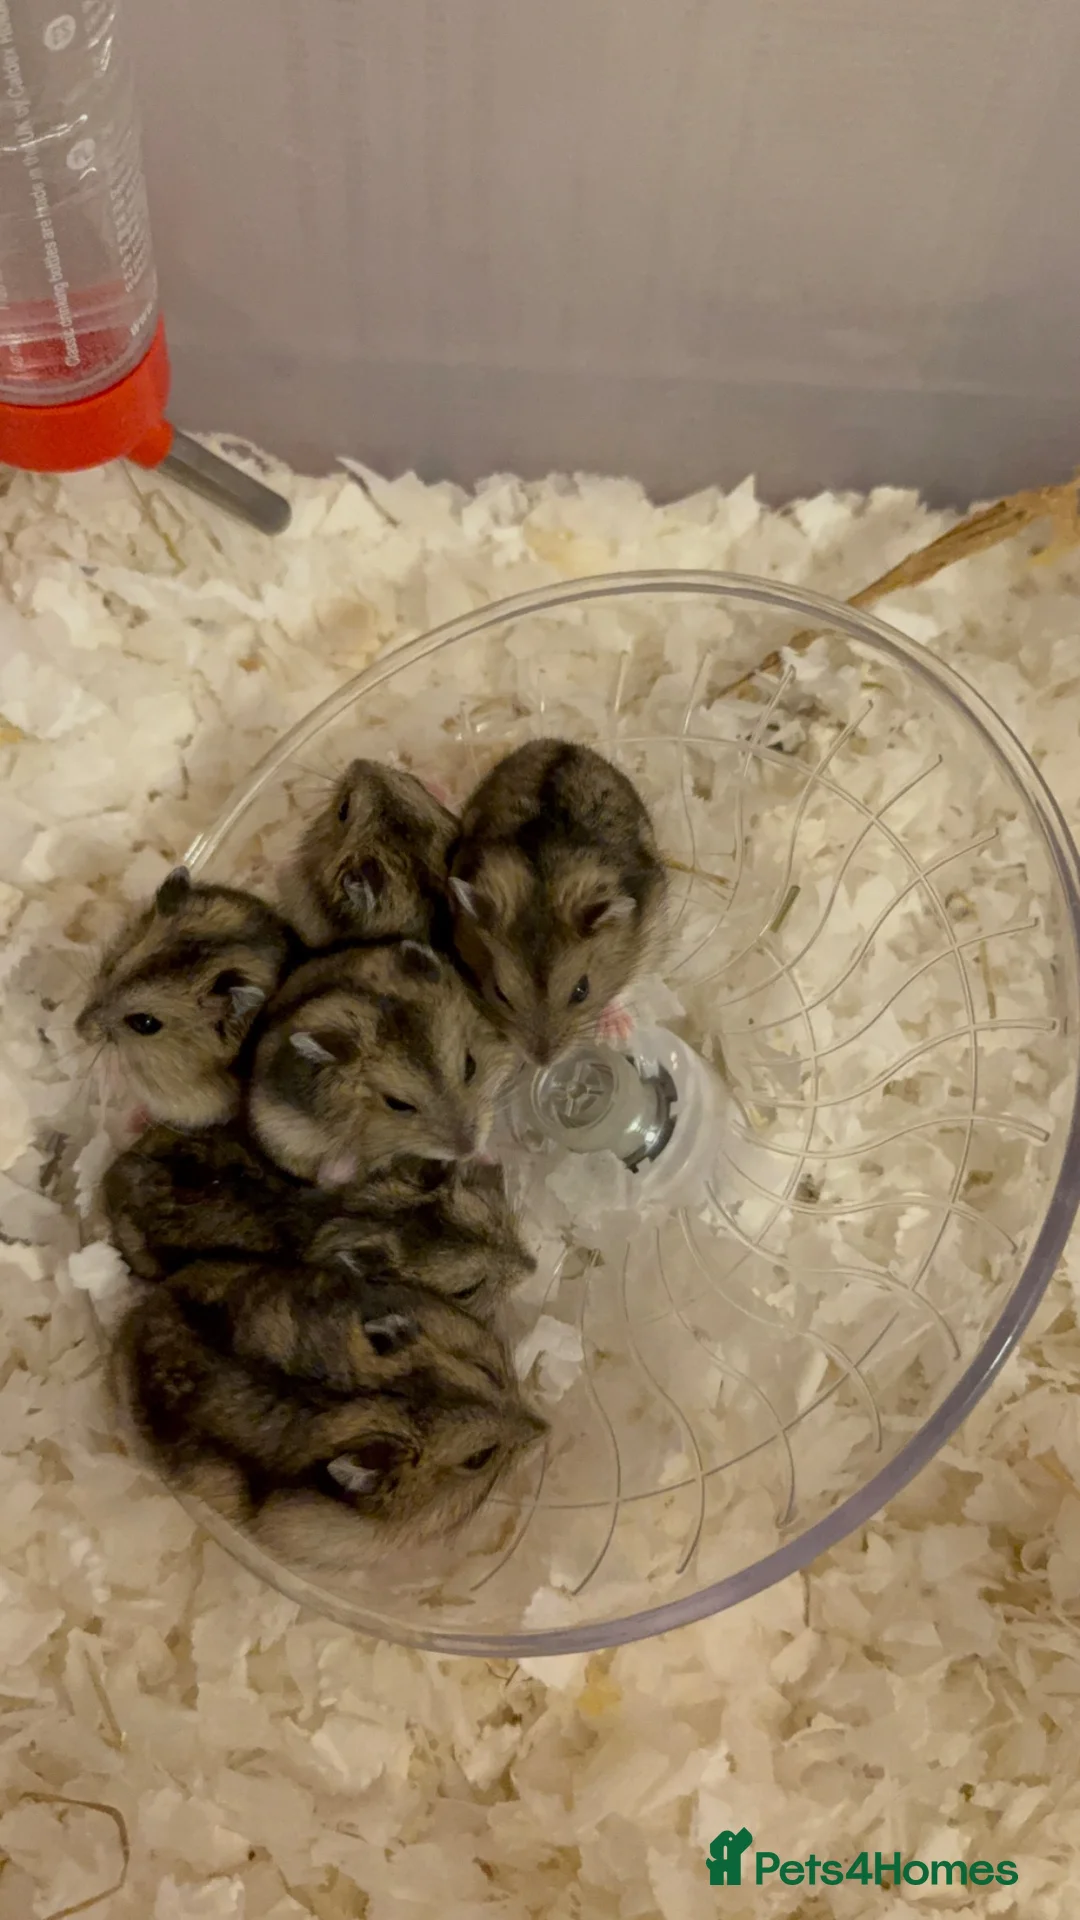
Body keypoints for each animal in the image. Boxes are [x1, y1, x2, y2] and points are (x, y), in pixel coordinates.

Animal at [448, 739, 668, 1065]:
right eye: (499, 992)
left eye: (582, 990)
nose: (542, 1061)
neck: (546, 882)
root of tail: (558, 742)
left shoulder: (651, 927)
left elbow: (628, 982)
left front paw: (616, 1033)